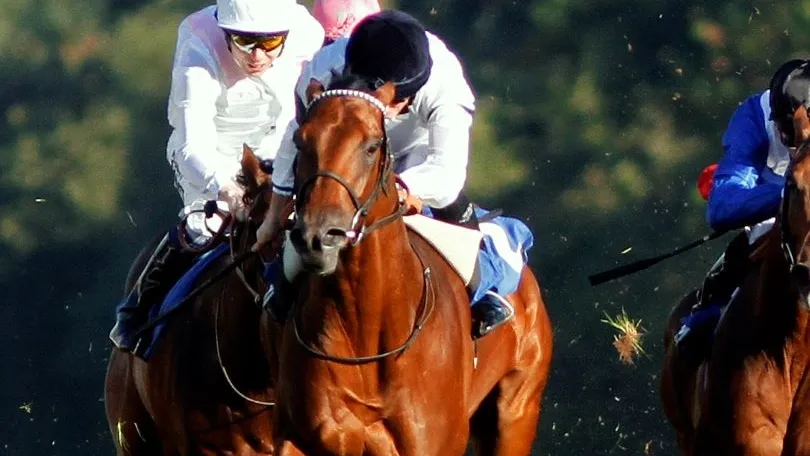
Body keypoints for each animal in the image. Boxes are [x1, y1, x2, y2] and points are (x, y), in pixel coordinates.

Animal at [260, 80, 556, 454]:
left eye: (371, 146)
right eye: (301, 140)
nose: (318, 236)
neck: (366, 331)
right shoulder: (302, 437)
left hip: (516, 412)